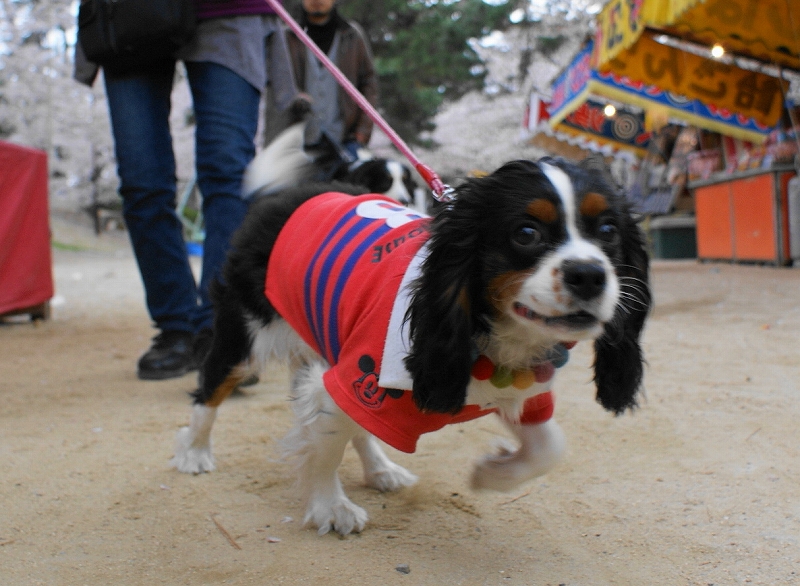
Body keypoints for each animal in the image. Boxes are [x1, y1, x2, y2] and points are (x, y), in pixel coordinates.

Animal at [172, 155, 652, 532]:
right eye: (526, 233)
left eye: (608, 230)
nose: (589, 274)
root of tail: (299, 194)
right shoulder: (354, 378)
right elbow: (325, 446)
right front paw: (331, 507)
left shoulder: (518, 389)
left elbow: (549, 448)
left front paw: (492, 474)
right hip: (245, 334)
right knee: (209, 392)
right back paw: (194, 452)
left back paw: (381, 469)